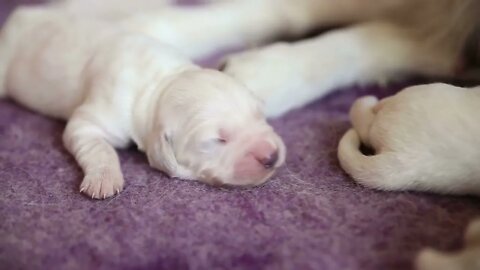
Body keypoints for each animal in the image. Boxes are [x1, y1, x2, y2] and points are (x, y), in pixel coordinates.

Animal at [0, 7, 284, 199]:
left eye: (259, 114)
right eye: (219, 140)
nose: (272, 156)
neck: (158, 83)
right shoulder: (96, 117)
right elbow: (96, 144)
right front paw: (104, 179)